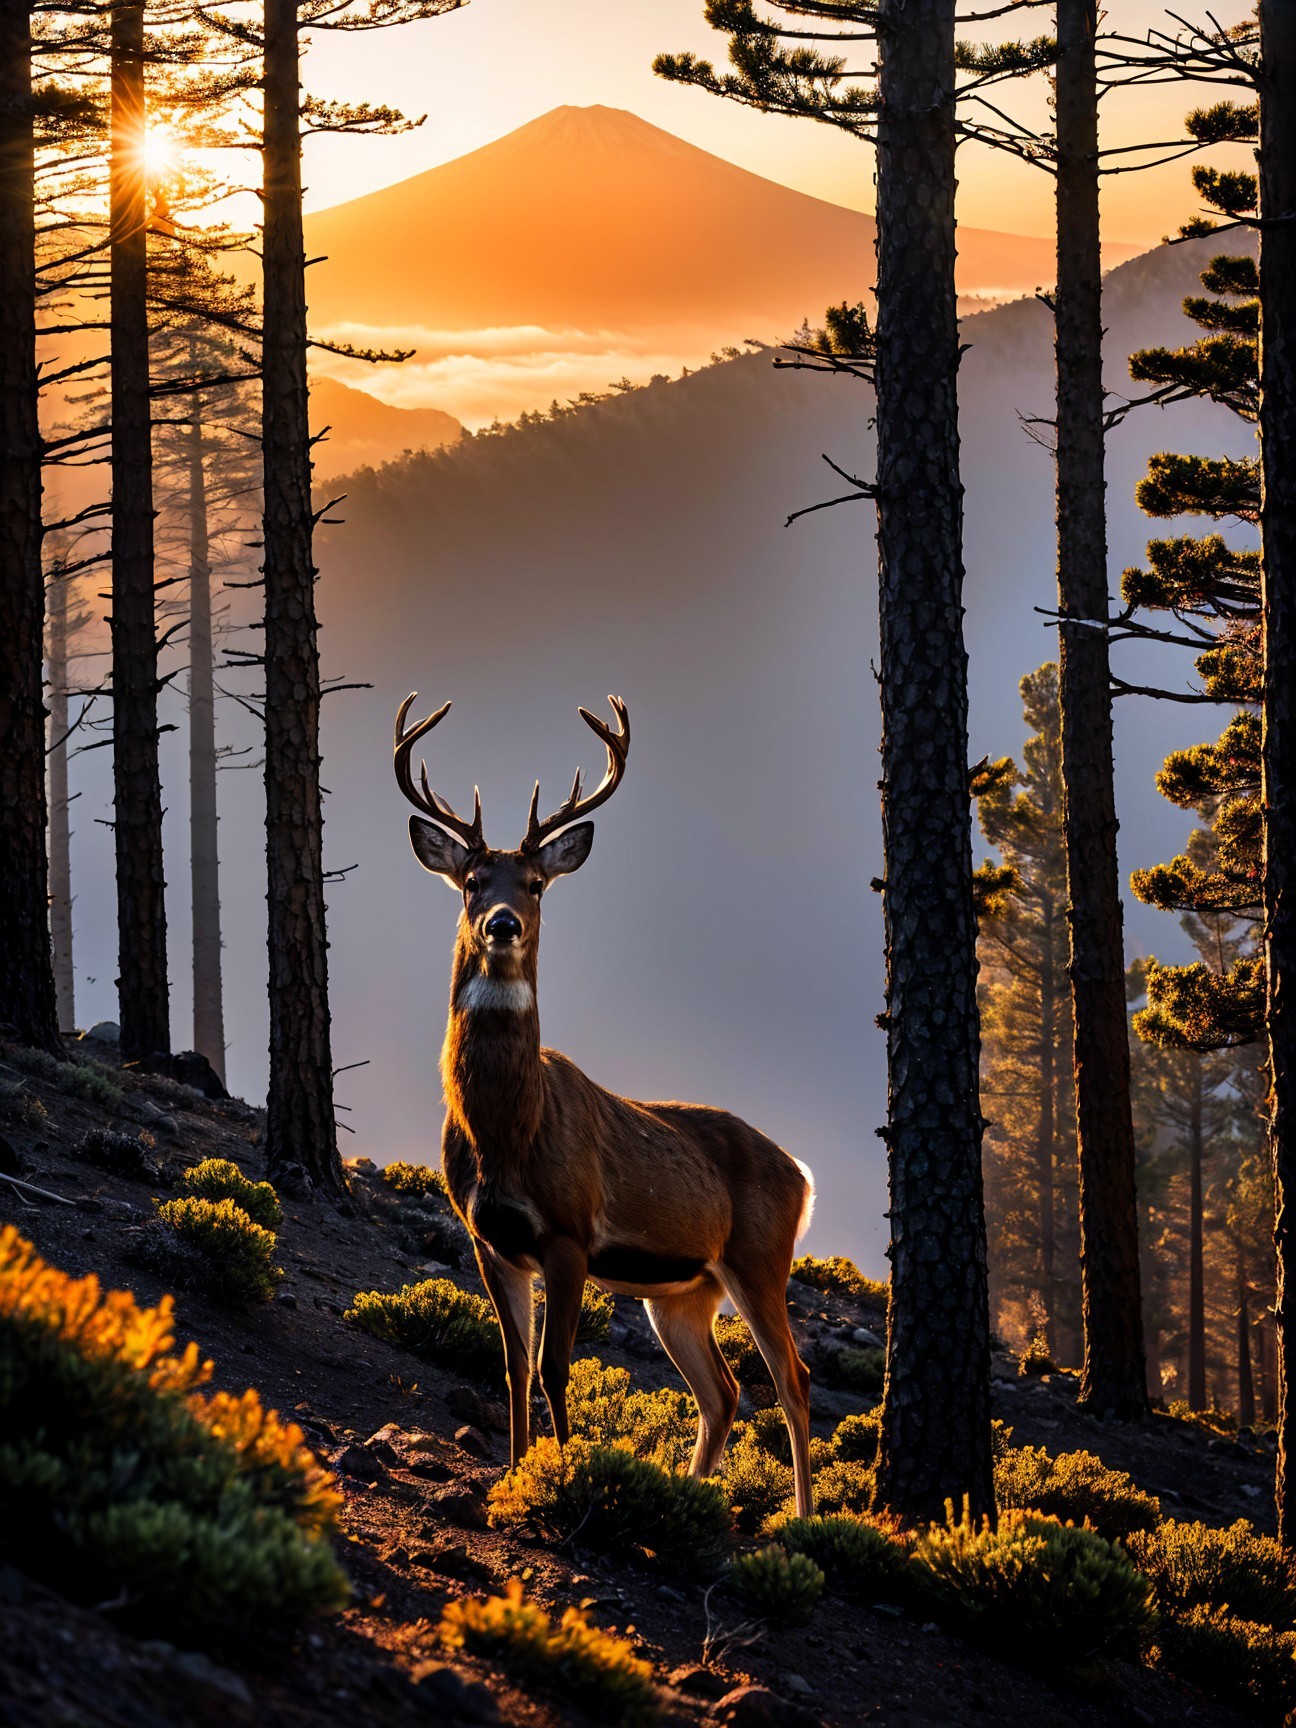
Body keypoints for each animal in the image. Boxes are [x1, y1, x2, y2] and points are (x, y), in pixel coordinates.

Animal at [393, 691, 816, 1517]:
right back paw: (691, 1493)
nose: (501, 924)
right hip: (684, 1292)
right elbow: (512, 1366)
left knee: (792, 1381)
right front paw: (512, 1473)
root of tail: (802, 1173)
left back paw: (802, 1519)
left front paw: (560, 1472)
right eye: (472, 881)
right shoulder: (490, 1239)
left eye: (534, 884)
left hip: (760, 1258)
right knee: (722, 1392)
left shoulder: (570, 1232)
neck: (505, 1133)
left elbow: (554, 1367)